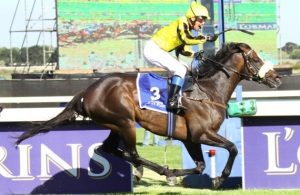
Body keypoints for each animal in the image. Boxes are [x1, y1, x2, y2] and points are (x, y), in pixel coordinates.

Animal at [14, 42, 282, 189]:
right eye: (255, 58)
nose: (277, 77)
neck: (207, 91)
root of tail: (87, 90)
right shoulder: (201, 133)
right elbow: (233, 148)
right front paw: (220, 178)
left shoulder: (190, 138)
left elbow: (200, 165)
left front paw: (183, 176)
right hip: (125, 122)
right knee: (131, 152)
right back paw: (155, 170)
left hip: (115, 124)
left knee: (109, 148)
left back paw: (146, 170)